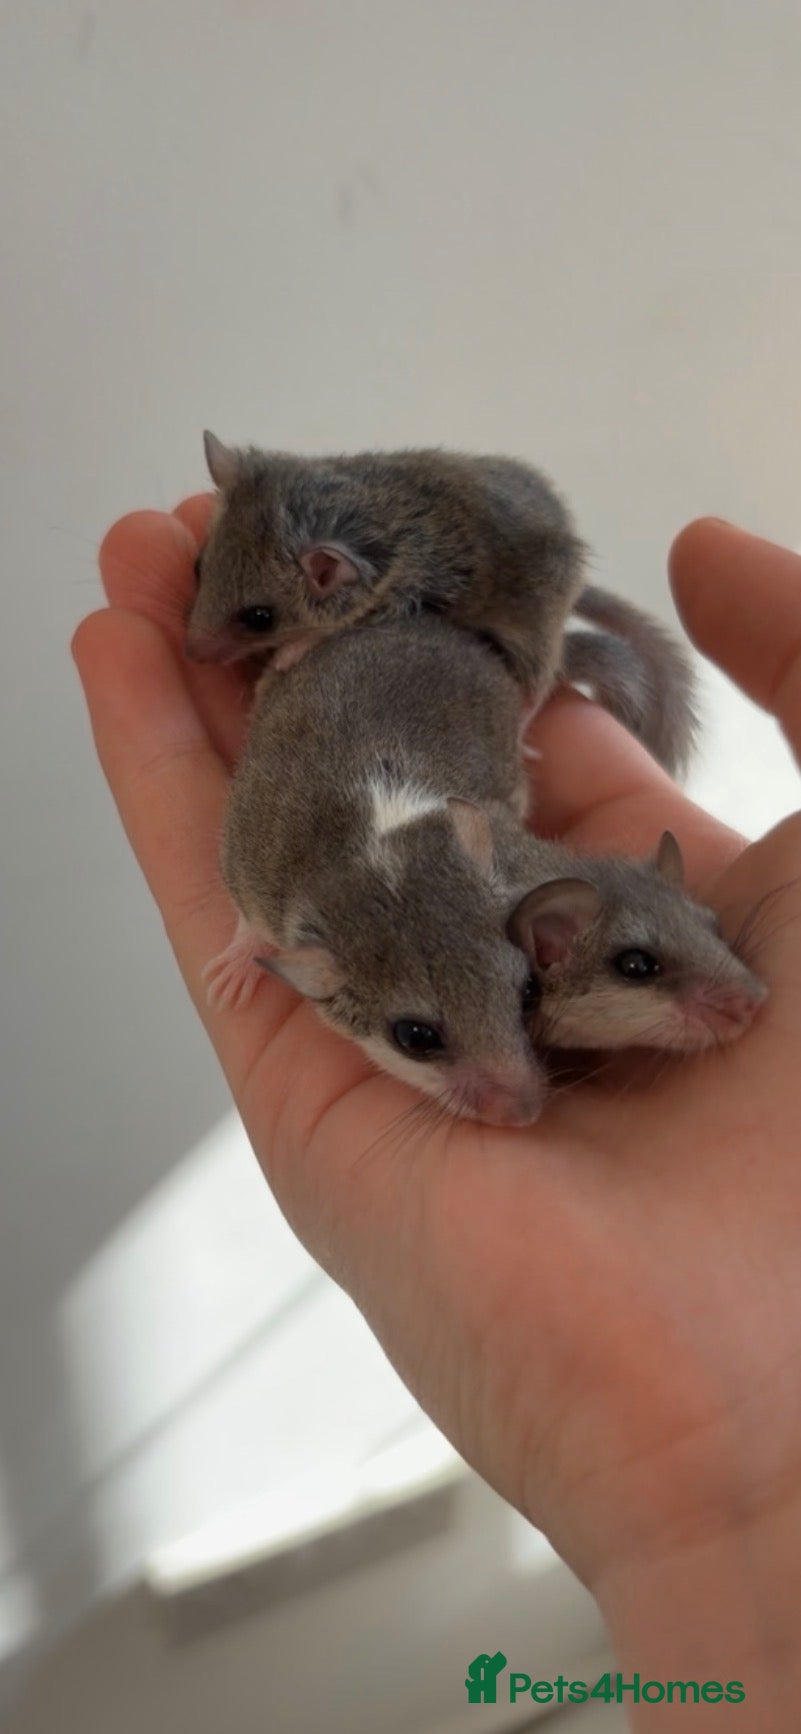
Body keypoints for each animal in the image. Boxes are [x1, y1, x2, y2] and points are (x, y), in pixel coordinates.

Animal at [186, 434, 698, 777]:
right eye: (198, 565)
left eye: (259, 618)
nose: (193, 654)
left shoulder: (403, 595)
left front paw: (287, 653)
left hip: (534, 623)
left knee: (540, 684)